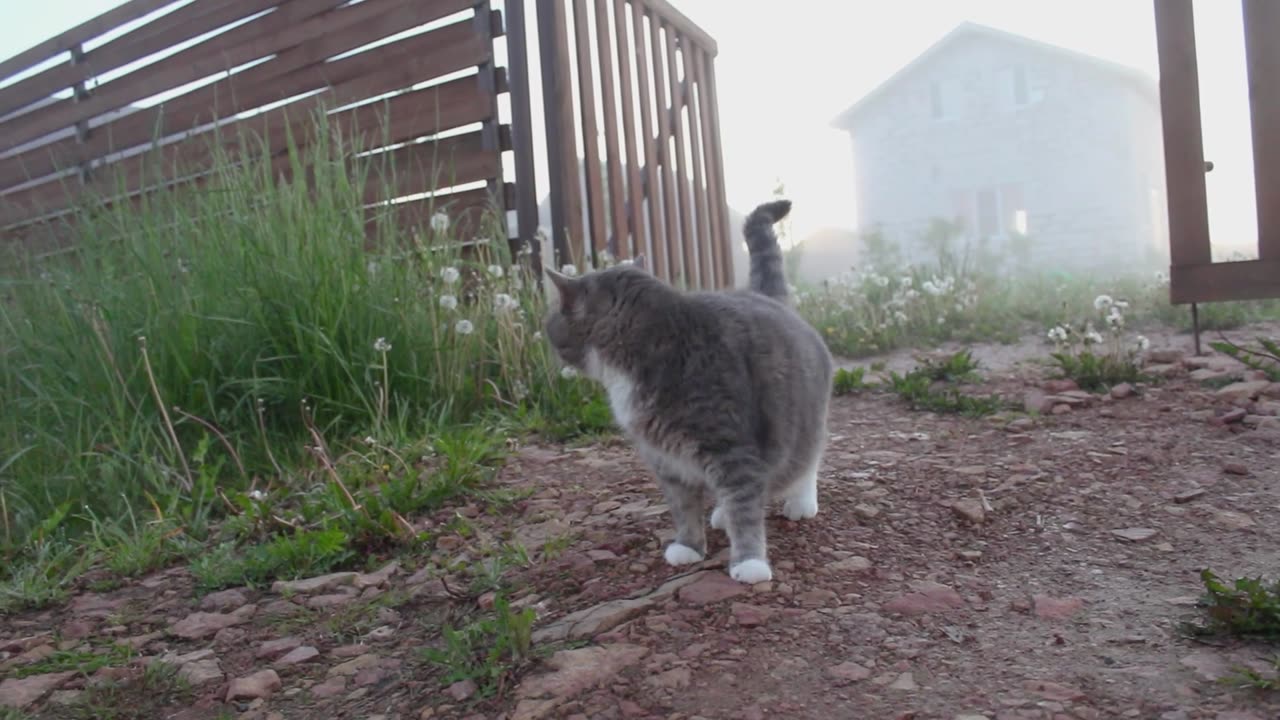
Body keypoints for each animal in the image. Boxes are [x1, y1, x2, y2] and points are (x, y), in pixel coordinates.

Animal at [537, 197, 829, 584]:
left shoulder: (732, 449)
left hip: (805, 421)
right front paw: (688, 546)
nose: (546, 336)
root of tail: (763, 296)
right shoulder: (665, 459)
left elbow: (745, 509)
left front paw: (749, 562)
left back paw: (800, 501)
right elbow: (684, 506)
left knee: (806, 459)